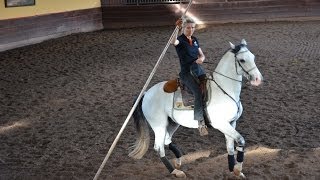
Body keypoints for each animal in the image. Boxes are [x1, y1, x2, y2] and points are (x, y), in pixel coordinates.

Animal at [128, 38, 262, 178]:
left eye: (253, 57)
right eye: (242, 60)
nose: (258, 79)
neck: (224, 89)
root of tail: (146, 93)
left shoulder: (232, 122)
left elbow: (230, 147)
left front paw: (233, 169)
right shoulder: (221, 124)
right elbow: (241, 141)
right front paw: (237, 169)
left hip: (172, 123)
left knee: (166, 141)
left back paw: (178, 162)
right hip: (159, 125)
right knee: (159, 147)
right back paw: (175, 171)